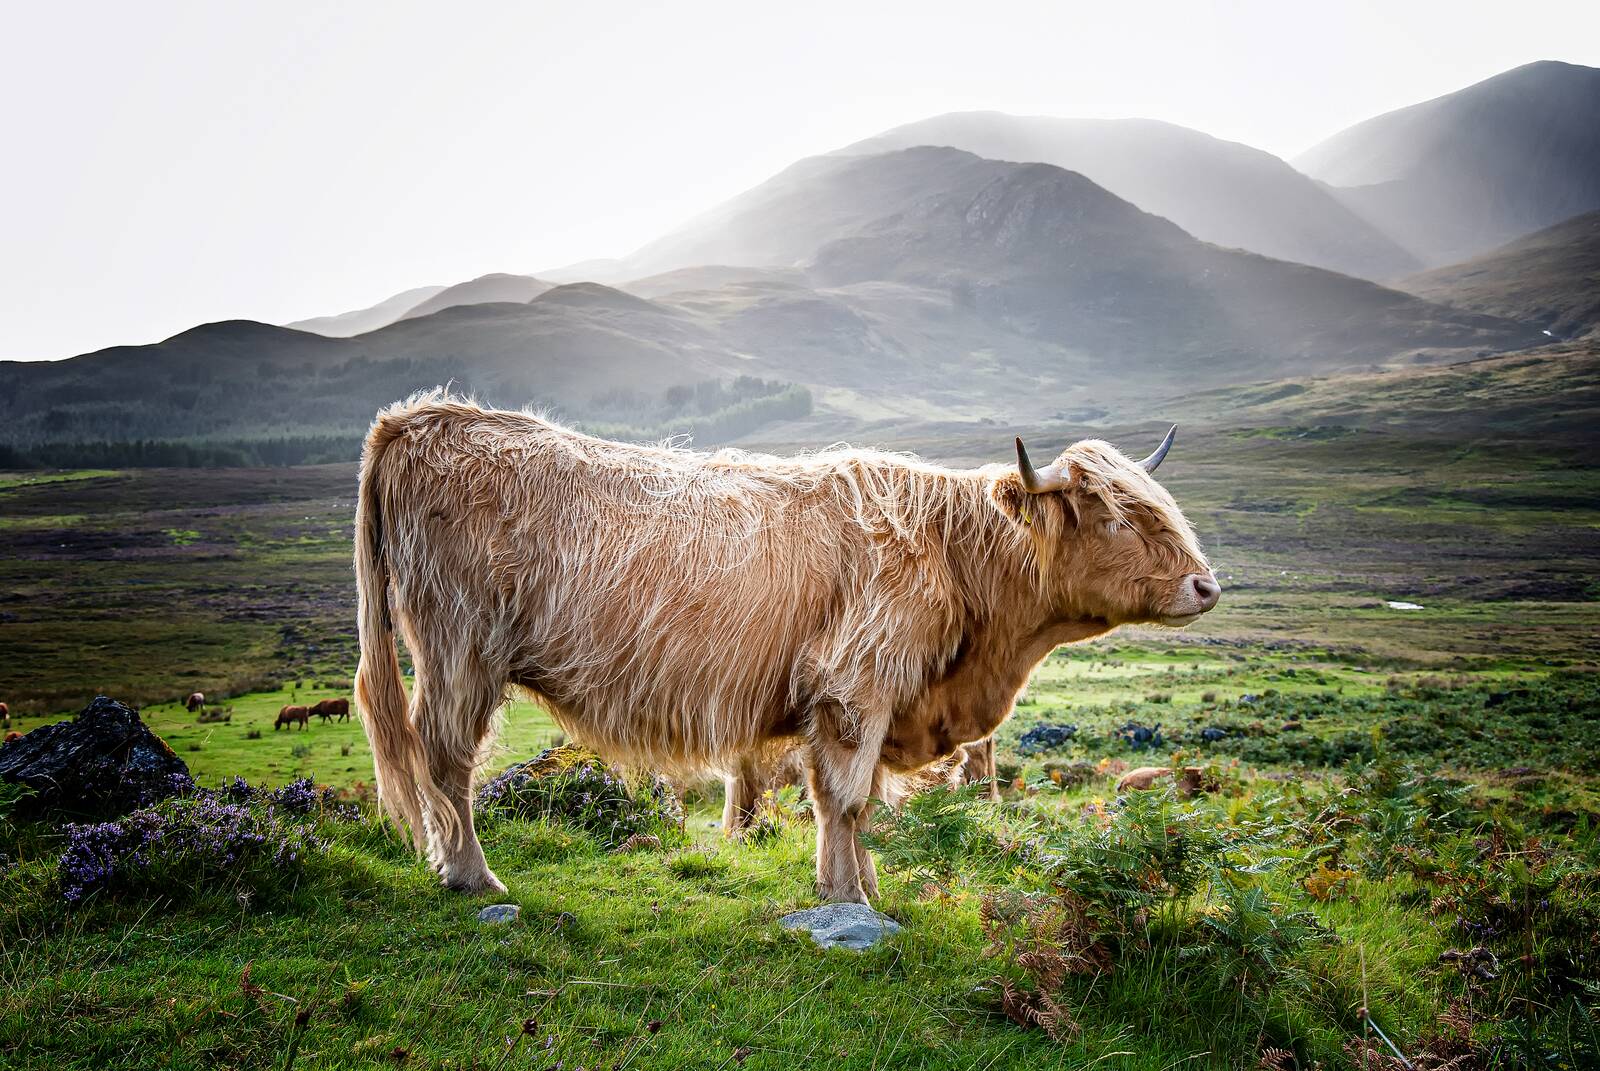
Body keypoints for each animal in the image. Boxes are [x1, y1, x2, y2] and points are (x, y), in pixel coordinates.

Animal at [352, 395, 1218, 900]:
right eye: (1114, 515)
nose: (1206, 585)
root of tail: (422, 415)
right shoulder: (854, 687)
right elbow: (845, 797)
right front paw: (846, 896)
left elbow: (850, 804)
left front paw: (864, 886)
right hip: (460, 648)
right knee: (445, 757)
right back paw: (472, 874)